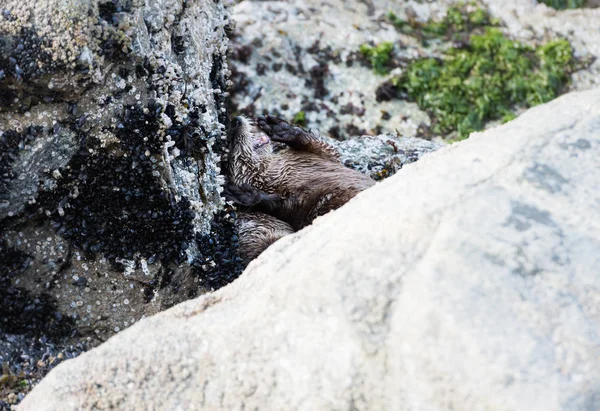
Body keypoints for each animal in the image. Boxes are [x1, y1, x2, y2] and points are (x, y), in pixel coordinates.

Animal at [226, 115, 376, 264]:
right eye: (233, 142)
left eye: (231, 138)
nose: (236, 120)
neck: (276, 172)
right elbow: (283, 208)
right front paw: (246, 195)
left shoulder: (324, 157)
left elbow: (321, 145)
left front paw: (280, 128)